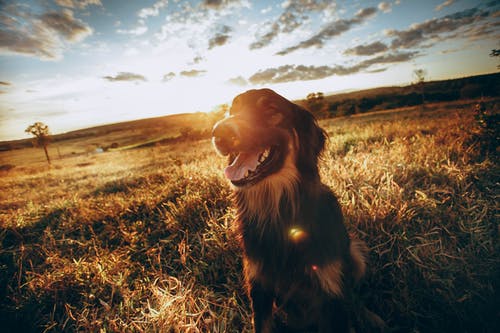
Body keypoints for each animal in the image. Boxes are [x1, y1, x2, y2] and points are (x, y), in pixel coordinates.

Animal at [211, 88, 382, 332]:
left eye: (270, 109)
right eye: (232, 110)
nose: (220, 132)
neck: (278, 211)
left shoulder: (332, 294)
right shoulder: (260, 289)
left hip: (356, 252)